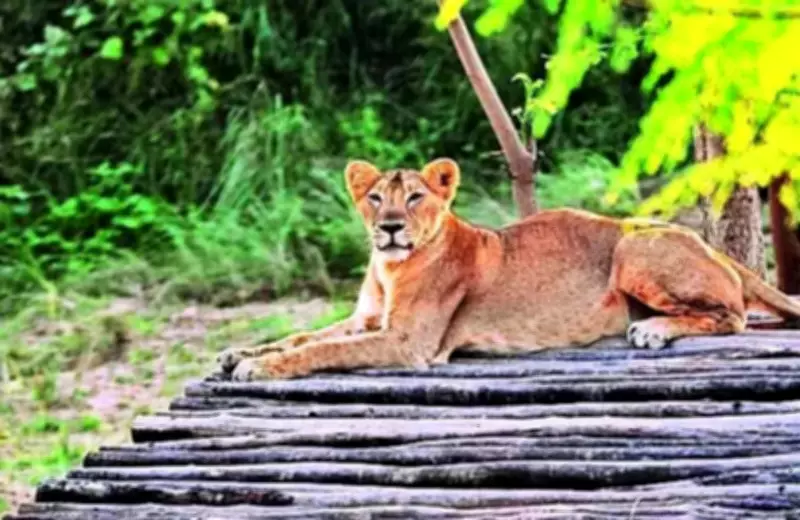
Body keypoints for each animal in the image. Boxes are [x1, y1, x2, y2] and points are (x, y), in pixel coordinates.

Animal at [218, 158, 800, 381]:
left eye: (415, 198)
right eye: (376, 197)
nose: (389, 227)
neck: (388, 267)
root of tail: (713, 247)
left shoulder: (409, 343)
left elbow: (321, 351)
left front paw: (259, 368)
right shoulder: (366, 319)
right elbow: (301, 336)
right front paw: (239, 354)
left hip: (634, 248)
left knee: (733, 315)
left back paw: (653, 330)